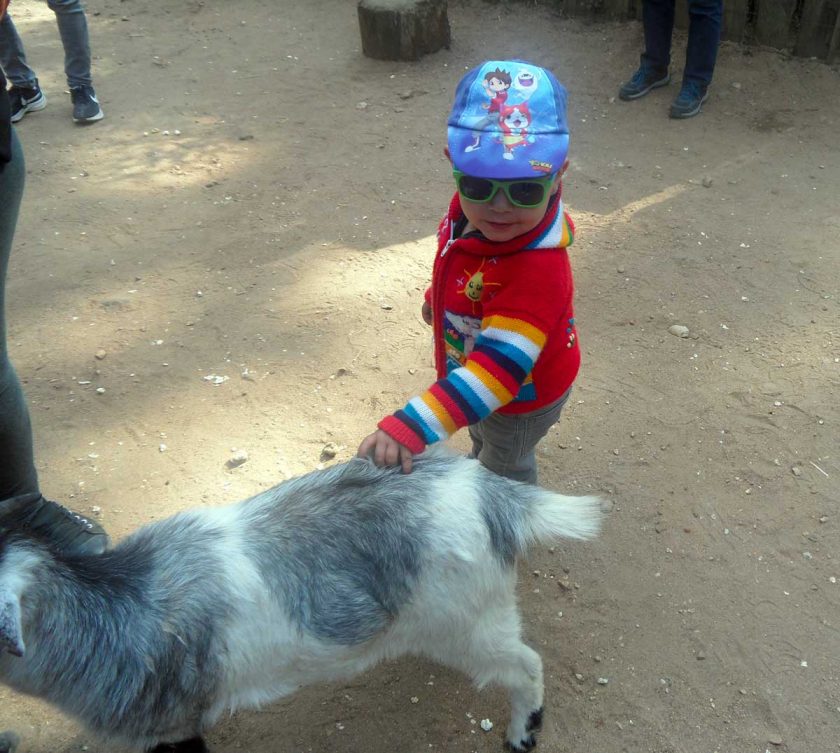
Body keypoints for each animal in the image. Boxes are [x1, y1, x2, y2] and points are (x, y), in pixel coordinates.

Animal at [0, 449, 602, 752]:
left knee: (525, 665)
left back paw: (523, 733)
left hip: (469, 622)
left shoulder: (170, 727)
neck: (123, 601)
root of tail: (492, 495)